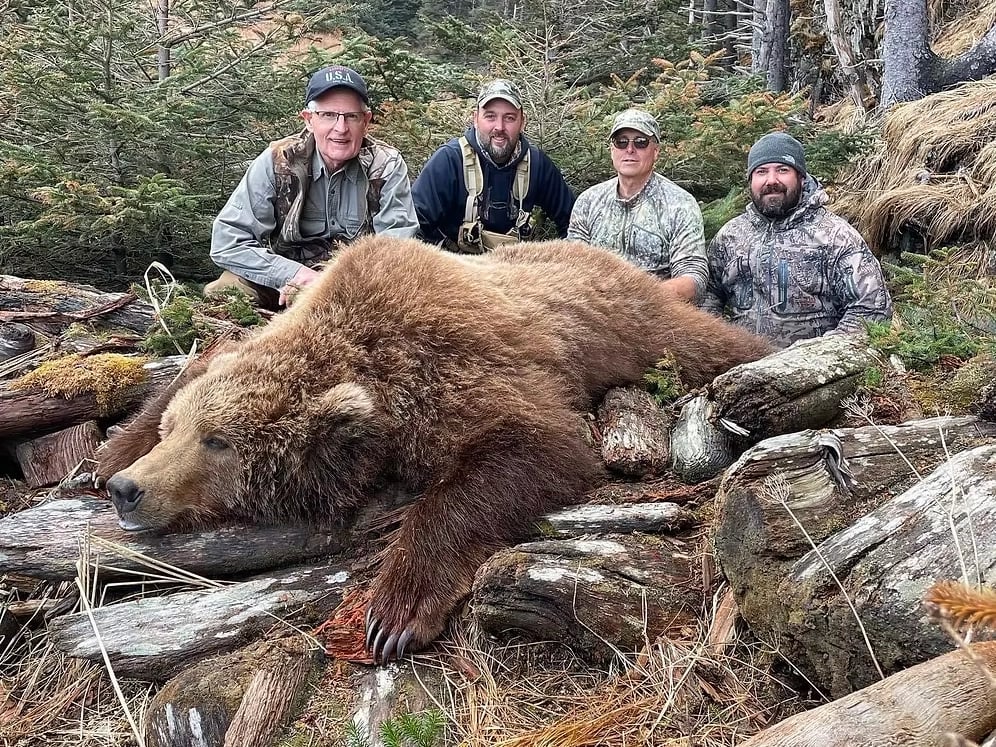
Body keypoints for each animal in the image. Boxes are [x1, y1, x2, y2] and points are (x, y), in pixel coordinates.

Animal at [101, 236, 774, 663]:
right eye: (174, 431)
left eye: (217, 442)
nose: (128, 490)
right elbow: (198, 363)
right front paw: (108, 451)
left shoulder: (457, 366)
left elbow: (533, 448)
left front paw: (396, 613)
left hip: (638, 323)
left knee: (706, 343)